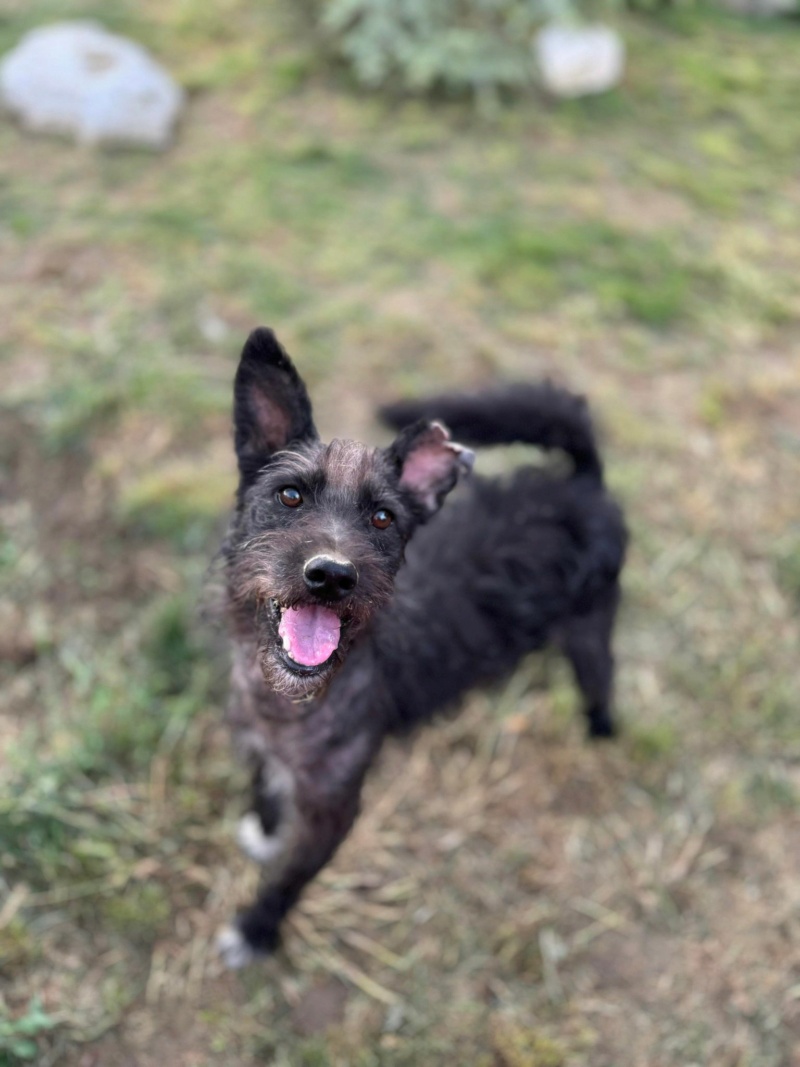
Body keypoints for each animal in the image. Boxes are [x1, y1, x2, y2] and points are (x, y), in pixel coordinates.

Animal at [216, 324, 631, 968]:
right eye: (289, 496)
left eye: (384, 518)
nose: (331, 575)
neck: (292, 699)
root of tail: (583, 481)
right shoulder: (256, 745)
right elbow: (263, 788)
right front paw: (264, 830)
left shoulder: (334, 812)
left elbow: (290, 879)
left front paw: (257, 930)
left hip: (592, 632)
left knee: (602, 681)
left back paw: (600, 732)